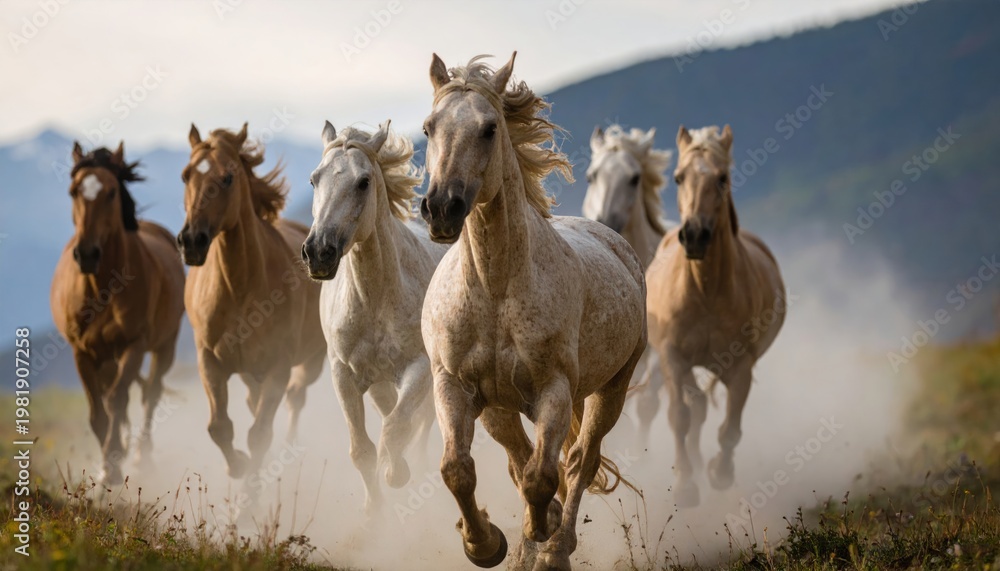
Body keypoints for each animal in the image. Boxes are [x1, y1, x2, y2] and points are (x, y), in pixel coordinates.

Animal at [50, 142, 185, 485]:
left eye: (111, 192)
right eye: (73, 191)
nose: (86, 254)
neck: (102, 287)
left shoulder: (134, 345)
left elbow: (116, 400)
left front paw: (113, 464)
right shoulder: (82, 352)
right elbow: (98, 412)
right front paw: (107, 465)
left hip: (164, 346)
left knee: (150, 393)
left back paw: (140, 457)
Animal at [177, 123, 326, 479]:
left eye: (228, 177)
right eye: (186, 175)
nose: (191, 241)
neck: (239, 290)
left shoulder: (279, 367)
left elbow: (259, 433)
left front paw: (252, 485)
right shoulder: (210, 362)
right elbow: (219, 427)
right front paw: (239, 467)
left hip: (312, 362)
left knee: (295, 398)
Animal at [301, 120, 444, 514]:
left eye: (363, 181)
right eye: (314, 179)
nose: (318, 251)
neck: (375, 300)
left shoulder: (420, 368)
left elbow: (395, 431)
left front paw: (398, 474)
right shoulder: (344, 376)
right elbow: (362, 450)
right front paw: (373, 515)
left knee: (420, 423)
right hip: (379, 383)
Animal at [419, 53, 647, 571]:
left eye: (489, 128)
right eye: (428, 127)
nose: (441, 208)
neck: (495, 289)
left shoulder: (554, 391)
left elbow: (543, 476)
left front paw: (540, 536)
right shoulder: (453, 385)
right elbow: (458, 469)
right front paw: (485, 545)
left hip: (611, 389)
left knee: (579, 461)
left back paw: (556, 547)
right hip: (497, 408)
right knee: (519, 459)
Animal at [645, 125, 786, 508]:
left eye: (722, 178)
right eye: (678, 177)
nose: (694, 235)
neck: (704, 291)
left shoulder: (741, 366)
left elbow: (731, 429)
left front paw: (719, 473)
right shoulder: (672, 357)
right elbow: (679, 417)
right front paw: (685, 486)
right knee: (694, 409)